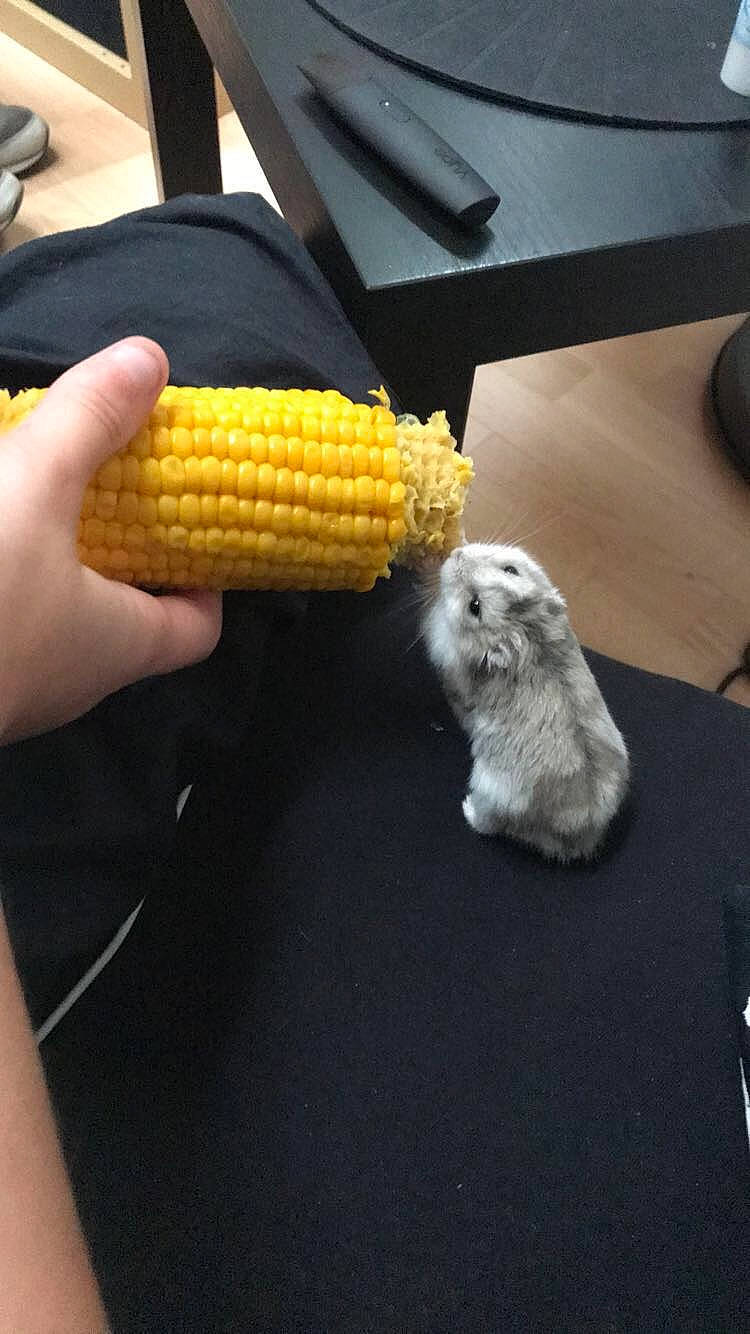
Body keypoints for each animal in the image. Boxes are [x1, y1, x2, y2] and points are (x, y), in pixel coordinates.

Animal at [424, 542, 629, 863]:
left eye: (475, 606)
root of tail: (581, 836)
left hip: (489, 792)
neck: (529, 631)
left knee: (488, 825)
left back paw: (467, 806)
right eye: (511, 569)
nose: (457, 553)